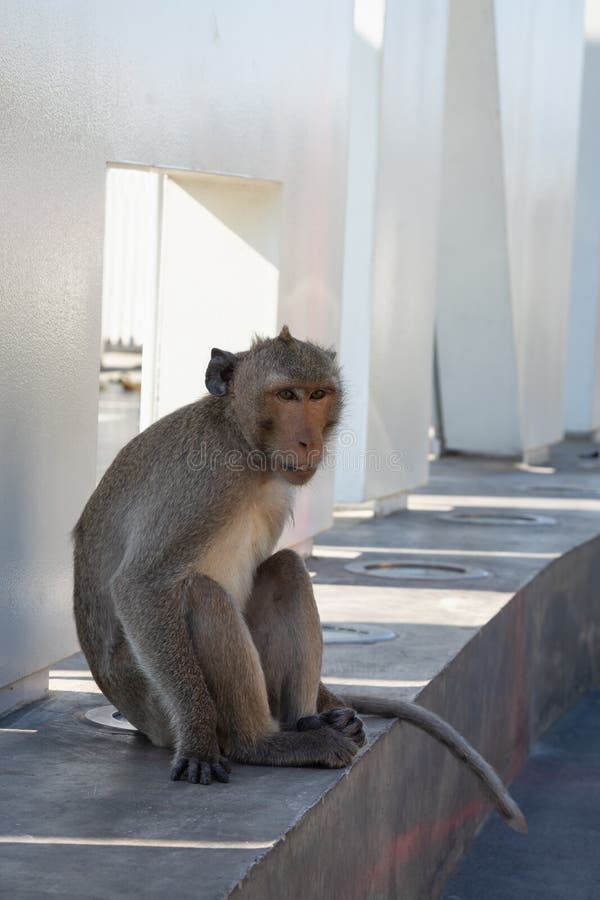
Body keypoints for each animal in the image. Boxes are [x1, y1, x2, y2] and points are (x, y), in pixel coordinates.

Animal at [71, 326, 524, 832]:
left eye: (317, 395)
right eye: (286, 395)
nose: (308, 441)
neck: (245, 445)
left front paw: (337, 709)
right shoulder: (205, 477)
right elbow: (142, 586)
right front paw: (199, 738)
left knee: (286, 568)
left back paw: (310, 721)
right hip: (151, 704)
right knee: (201, 595)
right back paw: (261, 743)